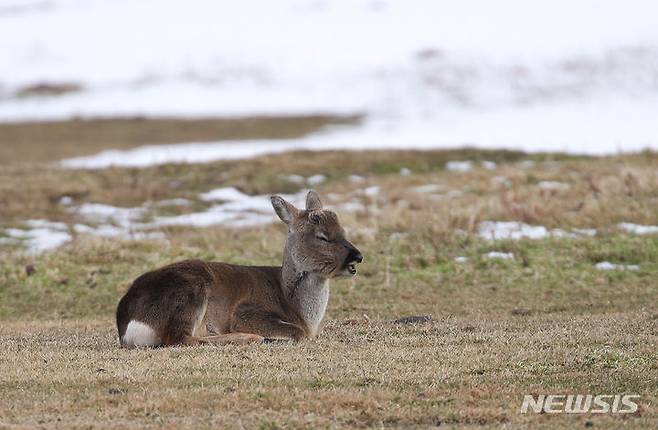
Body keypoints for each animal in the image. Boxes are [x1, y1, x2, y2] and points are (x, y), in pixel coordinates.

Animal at [115, 190, 362, 348]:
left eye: (342, 230)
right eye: (322, 237)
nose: (358, 256)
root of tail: (126, 322)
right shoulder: (246, 311)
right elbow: (298, 332)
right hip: (188, 292)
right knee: (178, 339)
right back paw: (252, 338)